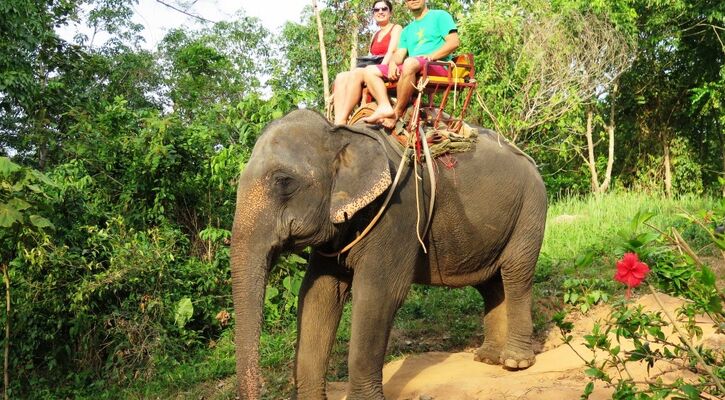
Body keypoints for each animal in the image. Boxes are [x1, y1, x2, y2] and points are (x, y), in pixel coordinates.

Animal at [229, 109, 544, 400]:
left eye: (284, 181)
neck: (342, 133)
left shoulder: (398, 213)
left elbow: (378, 293)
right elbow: (318, 295)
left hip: (530, 208)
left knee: (516, 273)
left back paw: (514, 362)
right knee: (490, 284)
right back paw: (488, 358)